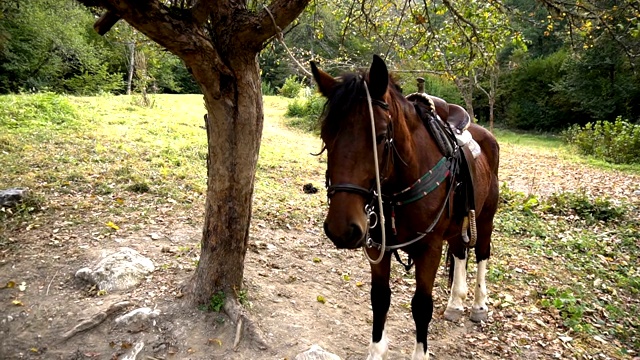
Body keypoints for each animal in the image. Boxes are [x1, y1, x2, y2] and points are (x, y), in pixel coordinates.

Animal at [312, 54, 502, 360]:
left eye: (380, 136)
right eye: (326, 136)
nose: (341, 229)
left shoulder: (430, 250)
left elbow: (421, 306)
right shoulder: (377, 245)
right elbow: (380, 298)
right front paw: (376, 351)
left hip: (485, 218)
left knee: (482, 253)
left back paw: (478, 306)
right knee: (460, 252)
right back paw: (455, 303)